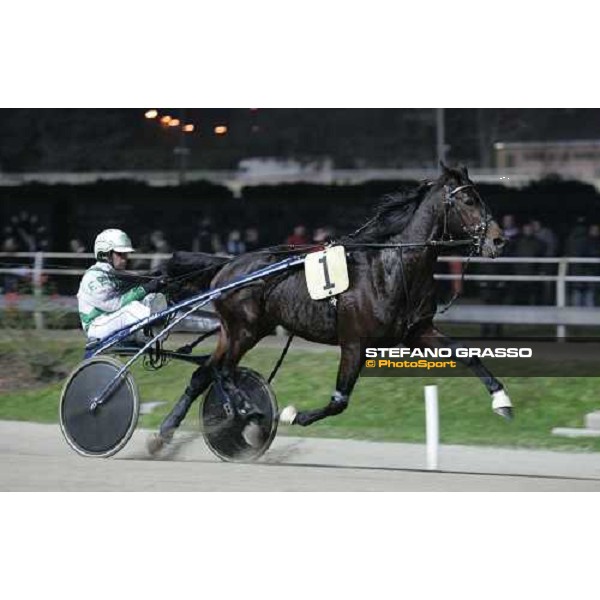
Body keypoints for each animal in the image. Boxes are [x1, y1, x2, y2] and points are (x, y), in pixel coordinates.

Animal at [149, 162, 510, 452]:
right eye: (469, 201)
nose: (498, 239)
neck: (394, 268)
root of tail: (227, 265)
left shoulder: (418, 331)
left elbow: (467, 355)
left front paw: (502, 401)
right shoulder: (354, 342)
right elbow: (339, 401)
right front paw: (292, 414)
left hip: (238, 330)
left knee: (203, 374)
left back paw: (162, 435)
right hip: (244, 330)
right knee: (222, 372)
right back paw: (248, 414)